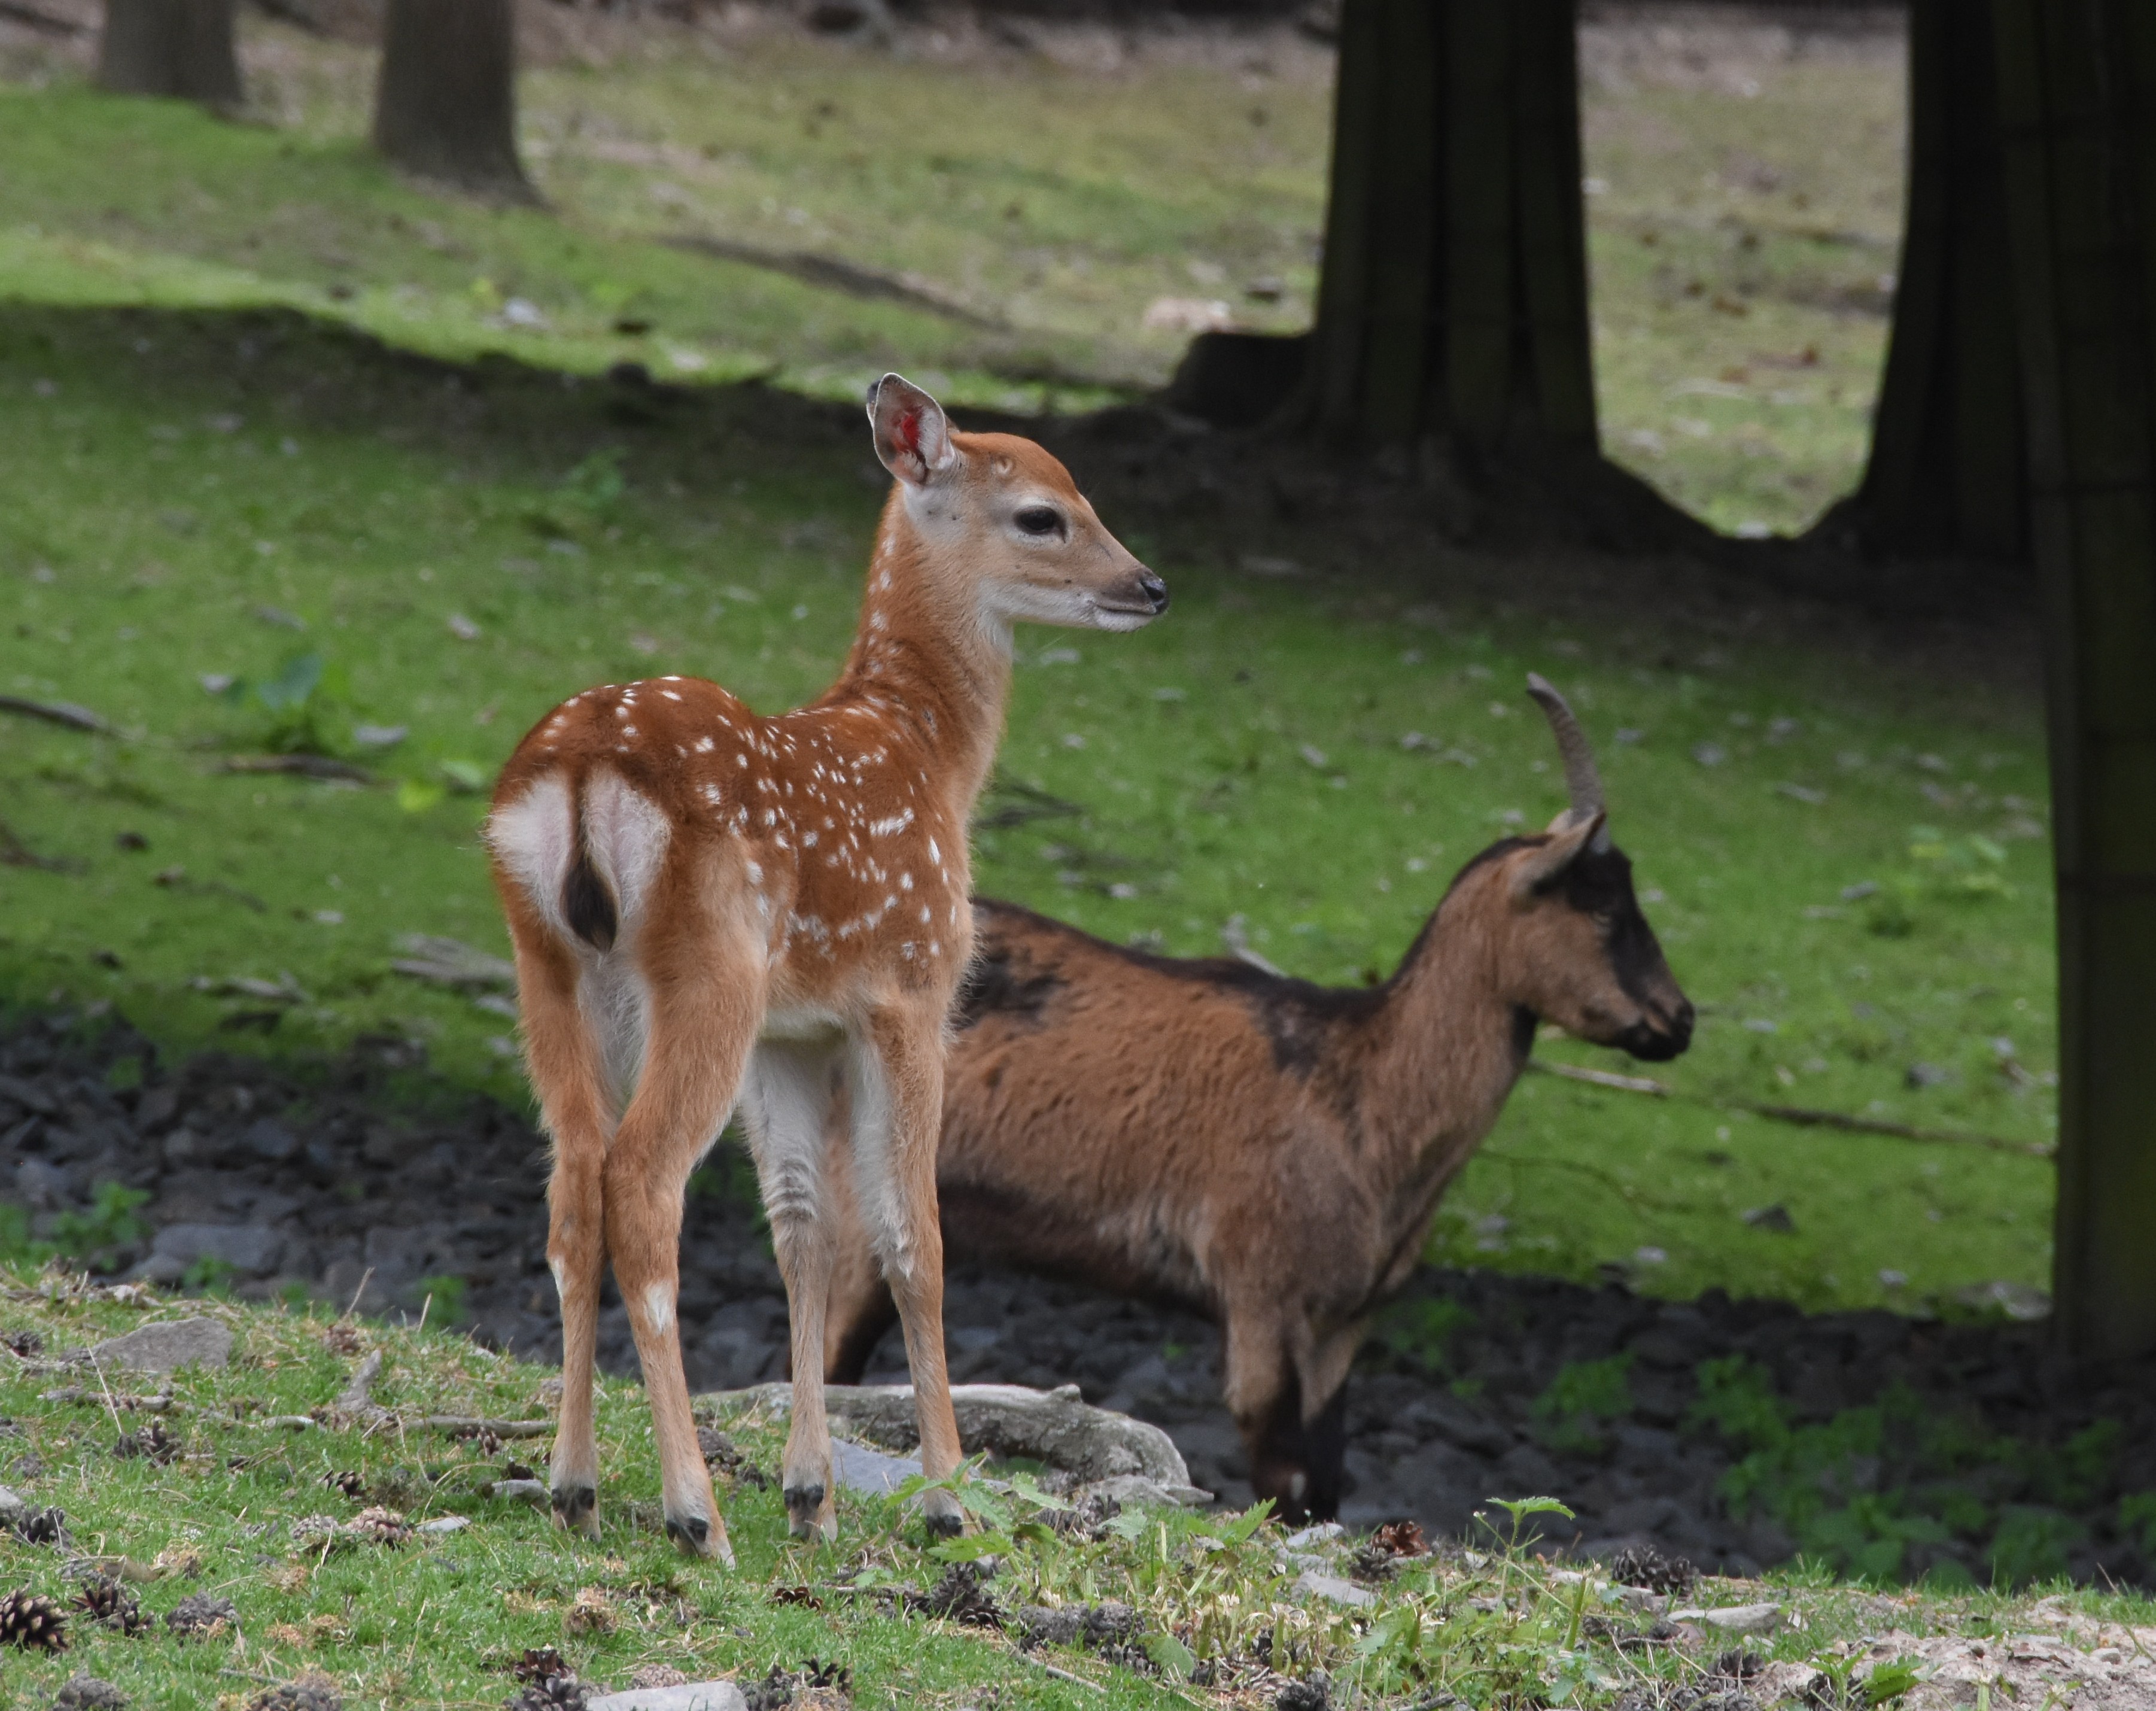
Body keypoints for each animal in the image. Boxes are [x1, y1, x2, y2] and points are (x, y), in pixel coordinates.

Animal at [485, 375, 1168, 1561]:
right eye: (1043, 513)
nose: (1149, 584)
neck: (925, 752)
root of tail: (576, 774)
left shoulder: (794, 1030)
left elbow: (805, 1228)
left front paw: (812, 1493)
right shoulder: (913, 989)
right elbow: (914, 1236)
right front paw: (947, 1497)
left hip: (551, 963)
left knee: (573, 1181)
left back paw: (574, 1485)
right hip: (709, 967)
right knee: (641, 1184)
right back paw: (694, 1510)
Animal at [816, 677, 1692, 1524]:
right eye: (1603, 908)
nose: (1677, 1021)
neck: (1360, 1092)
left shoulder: (1343, 1326)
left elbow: (1325, 1482)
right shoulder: (1262, 1299)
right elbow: (1282, 1479)